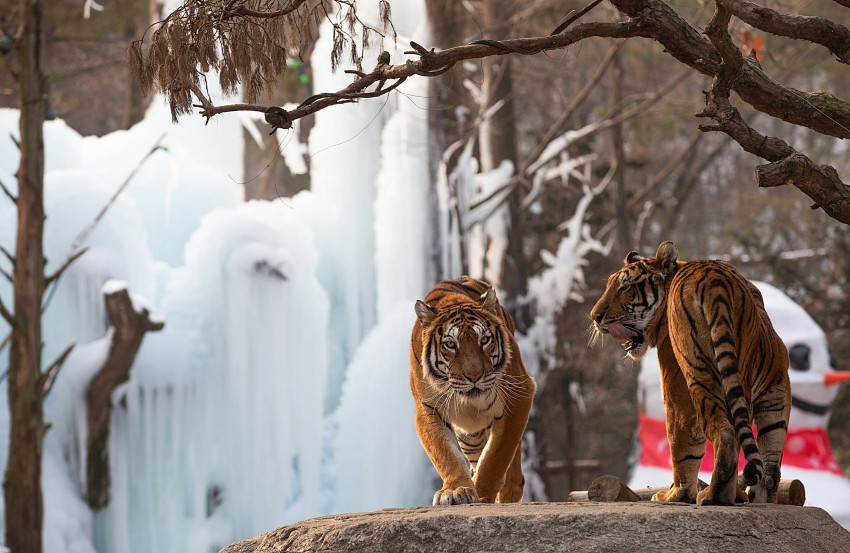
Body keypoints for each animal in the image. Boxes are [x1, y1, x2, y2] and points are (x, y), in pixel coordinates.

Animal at [408, 276, 532, 504]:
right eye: (450, 344)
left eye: (484, 340)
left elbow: (497, 455)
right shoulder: (427, 408)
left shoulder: (519, 393)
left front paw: (482, 493)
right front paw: (456, 490)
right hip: (469, 437)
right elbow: (444, 453)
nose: (474, 377)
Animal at [588, 242, 788, 504]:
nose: (594, 316)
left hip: (697, 374)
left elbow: (681, 443)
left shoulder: (675, 385)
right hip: (766, 396)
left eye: (625, 287)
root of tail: (716, 283)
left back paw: (714, 495)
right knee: (766, 459)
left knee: (724, 432)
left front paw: (675, 494)